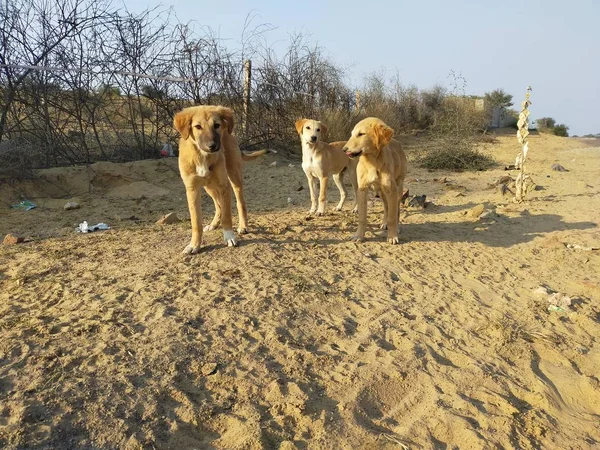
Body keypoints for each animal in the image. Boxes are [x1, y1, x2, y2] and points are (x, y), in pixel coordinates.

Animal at [175, 104, 270, 255]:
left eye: (216, 125)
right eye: (197, 126)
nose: (212, 146)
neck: (202, 156)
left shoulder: (224, 185)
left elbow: (227, 215)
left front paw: (229, 236)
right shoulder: (192, 189)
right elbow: (196, 222)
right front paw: (194, 245)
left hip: (234, 177)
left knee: (240, 203)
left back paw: (243, 226)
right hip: (209, 187)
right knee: (218, 205)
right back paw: (213, 224)